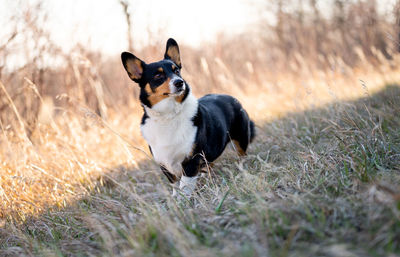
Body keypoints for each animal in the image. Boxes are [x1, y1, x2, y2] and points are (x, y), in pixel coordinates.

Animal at [120, 38, 255, 197]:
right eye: (158, 76)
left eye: (177, 71)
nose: (180, 82)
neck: (169, 115)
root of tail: (231, 97)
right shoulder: (164, 164)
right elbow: (175, 185)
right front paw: (176, 198)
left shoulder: (191, 159)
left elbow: (184, 185)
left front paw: (185, 199)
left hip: (240, 139)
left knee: (242, 156)